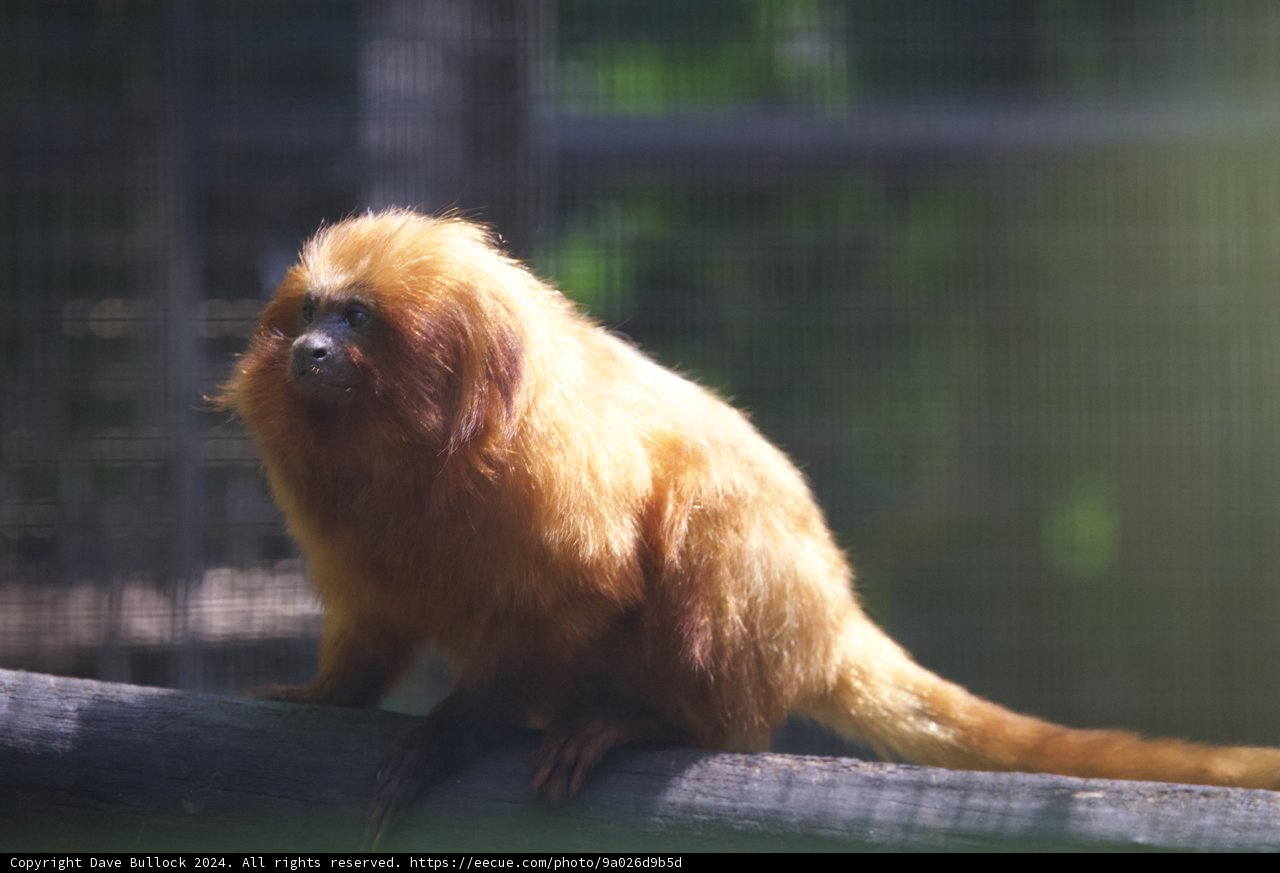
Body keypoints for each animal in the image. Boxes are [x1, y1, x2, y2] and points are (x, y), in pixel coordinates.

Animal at [219, 208, 1280, 838]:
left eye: (356, 319)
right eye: (309, 313)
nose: (311, 351)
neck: (409, 449)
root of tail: (827, 619)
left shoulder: (551, 479)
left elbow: (574, 597)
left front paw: (447, 734)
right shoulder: (362, 539)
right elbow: (374, 622)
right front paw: (330, 694)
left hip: (757, 630)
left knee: (712, 523)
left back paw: (651, 723)